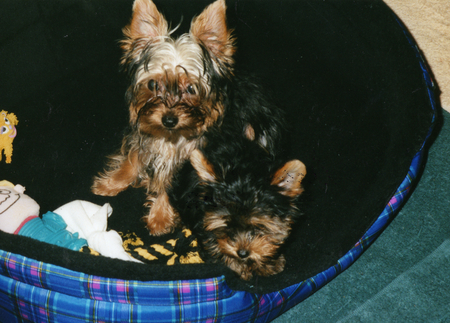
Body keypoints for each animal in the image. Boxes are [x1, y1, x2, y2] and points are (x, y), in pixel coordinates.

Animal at [91, 0, 284, 238]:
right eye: (153, 84)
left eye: (191, 88)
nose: (169, 120)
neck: (171, 136)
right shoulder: (145, 132)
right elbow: (134, 155)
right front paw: (113, 181)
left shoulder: (192, 155)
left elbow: (171, 182)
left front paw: (160, 216)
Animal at [169, 130, 306, 280]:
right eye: (227, 226)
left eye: (258, 227)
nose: (242, 253)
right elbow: (215, 244)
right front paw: (238, 268)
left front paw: (267, 263)